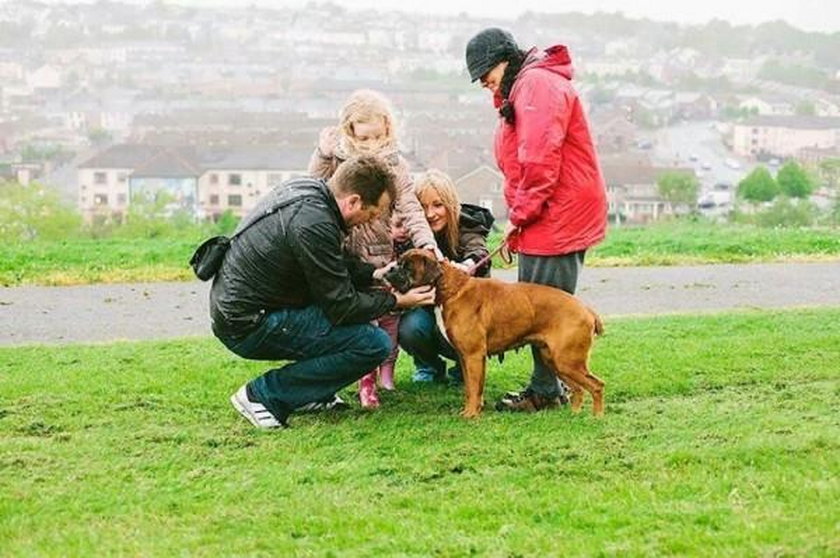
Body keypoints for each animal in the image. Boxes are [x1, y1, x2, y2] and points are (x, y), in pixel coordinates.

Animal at [394, 249, 604, 420]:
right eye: (400, 263)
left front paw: (471, 415)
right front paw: (472, 410)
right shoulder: (466, 358)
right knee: (579, 389)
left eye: (407, 267)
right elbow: (471, 389)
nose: (391, 270)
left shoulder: (474, 356)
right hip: (556, 361)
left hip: (567, 361)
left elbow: (474, 388)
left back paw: (597, 417)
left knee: (596, 385)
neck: (452, 288)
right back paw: (574, 414)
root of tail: (586, 309)